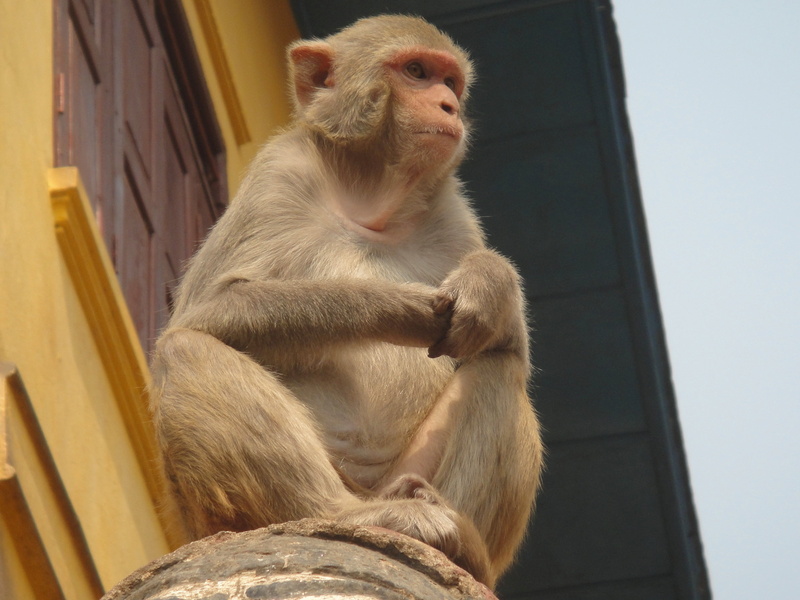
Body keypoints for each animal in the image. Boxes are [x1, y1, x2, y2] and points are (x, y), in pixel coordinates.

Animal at [149, 15, 543, 589]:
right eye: (417, 72)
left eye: (450, 82)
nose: (448, 106)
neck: (369, 202)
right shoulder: (278, 173)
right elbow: (211, 308)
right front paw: (395, 307)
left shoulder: (453, 212)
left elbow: (507, 341)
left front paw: (488, 283)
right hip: (217, 516)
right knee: (184, 349)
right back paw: (351, 514)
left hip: (408, 470)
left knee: (499, 366)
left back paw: (462, 546)